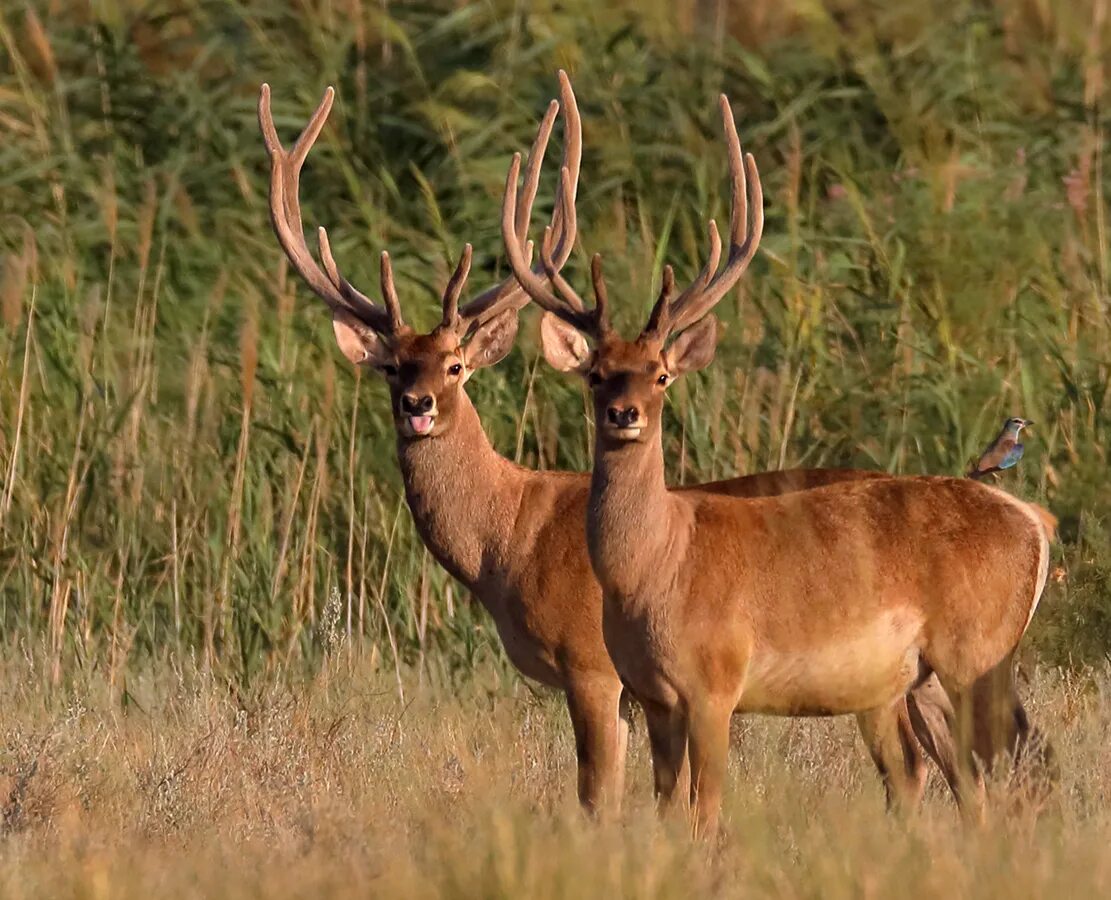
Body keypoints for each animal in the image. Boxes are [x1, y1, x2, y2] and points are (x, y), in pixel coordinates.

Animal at [255, 75, 986, 813]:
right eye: (392, 367)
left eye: (455, 365)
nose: (417, 406)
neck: (507, 541)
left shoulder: (592, 668)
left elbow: (596, 794)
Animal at [508, 77, 1053, 835]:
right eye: (595, 374)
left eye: (660, 375)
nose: (624, 414)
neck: (655, 568)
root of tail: (1033, 521)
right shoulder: (652, 696)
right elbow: (665, 810)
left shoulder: (715, 683)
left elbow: (705, 813)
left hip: (977, 649)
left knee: (1003, 769)